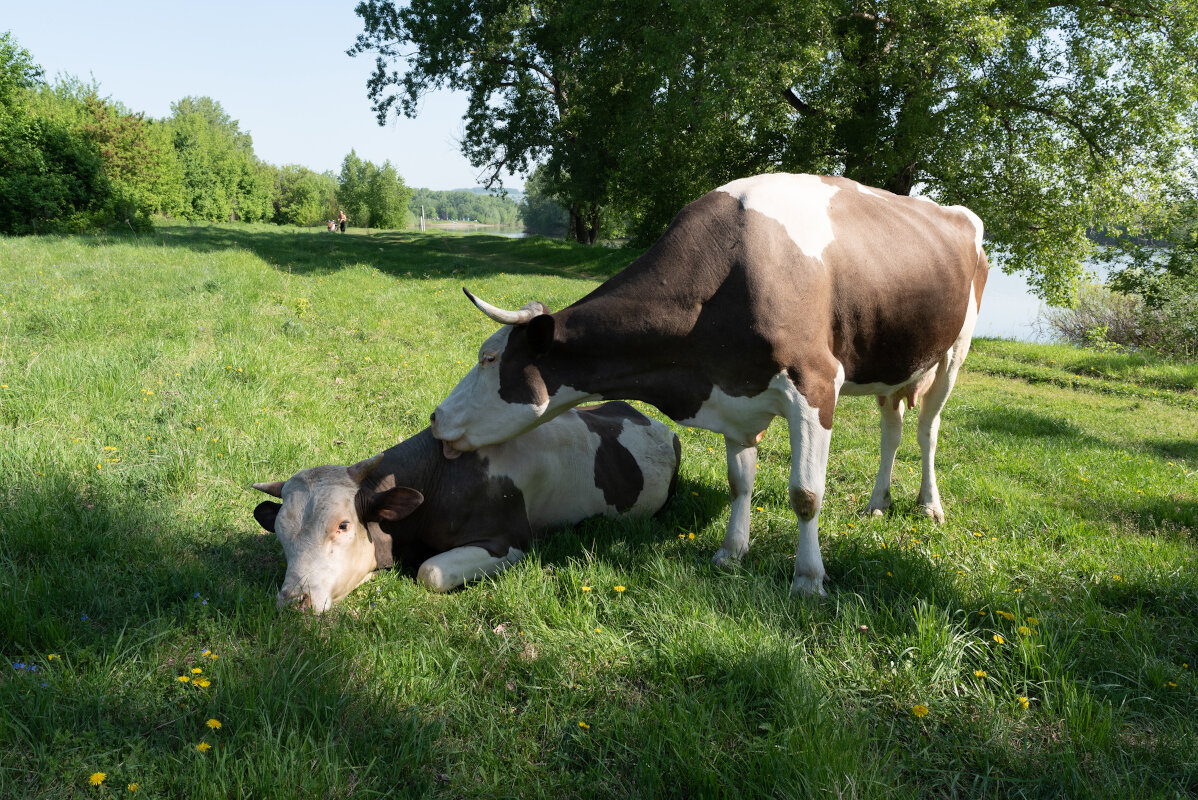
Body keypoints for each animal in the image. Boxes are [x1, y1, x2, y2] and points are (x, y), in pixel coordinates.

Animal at [426, 173, 987, 594]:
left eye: (489, 357)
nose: (435, 418)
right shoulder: (734, 391)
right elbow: (741, 483)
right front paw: (730, 552)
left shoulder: (815, 384)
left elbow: (806, 493)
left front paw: (808, 578)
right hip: (895, 365)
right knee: (892, 428)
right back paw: (876, 504)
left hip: (953, 352)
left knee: (927, 430)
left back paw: (929, 505)